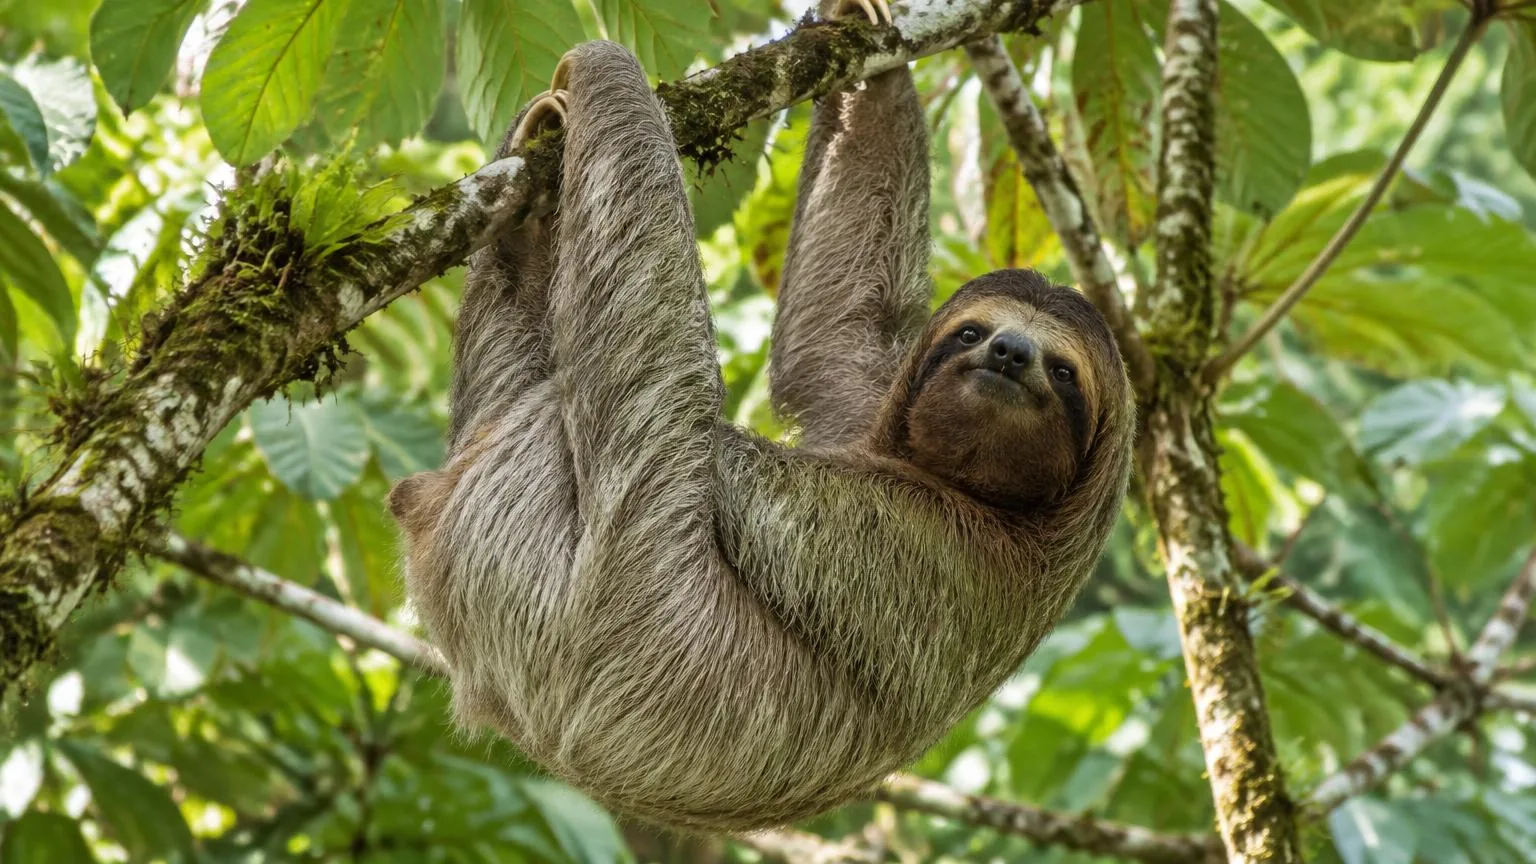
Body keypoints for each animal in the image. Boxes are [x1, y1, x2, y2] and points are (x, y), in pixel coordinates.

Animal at [387, 2, 1134, 832]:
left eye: (1062, 372)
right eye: (972, 334)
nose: (1010, 354)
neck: (971, 492)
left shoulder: (913, 539)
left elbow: (726, 455)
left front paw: (603, 74)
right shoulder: (871, 412)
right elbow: (833, 329)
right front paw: (858, 27)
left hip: (572, 592)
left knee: (644, 373)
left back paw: (608, 88)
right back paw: (527, 217)